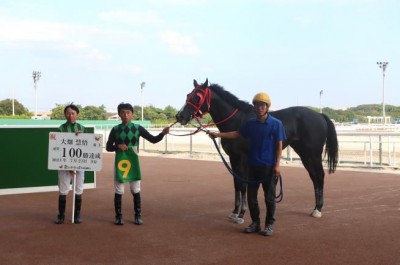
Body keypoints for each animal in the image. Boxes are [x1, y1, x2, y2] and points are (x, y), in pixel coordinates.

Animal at [175, 79, 338, 223]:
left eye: (197, 97)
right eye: (188, 95)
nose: (179, 116)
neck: (238, 121)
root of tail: (320, 115)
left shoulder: (242, 158)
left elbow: (242, 185)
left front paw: (241, 214)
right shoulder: (233, 158)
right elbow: (236, 184)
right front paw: (234, 212)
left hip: (313, 154)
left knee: (320, 176)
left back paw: (318, 210)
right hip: (305, 154)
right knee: (314, 177)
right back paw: (315, 208)